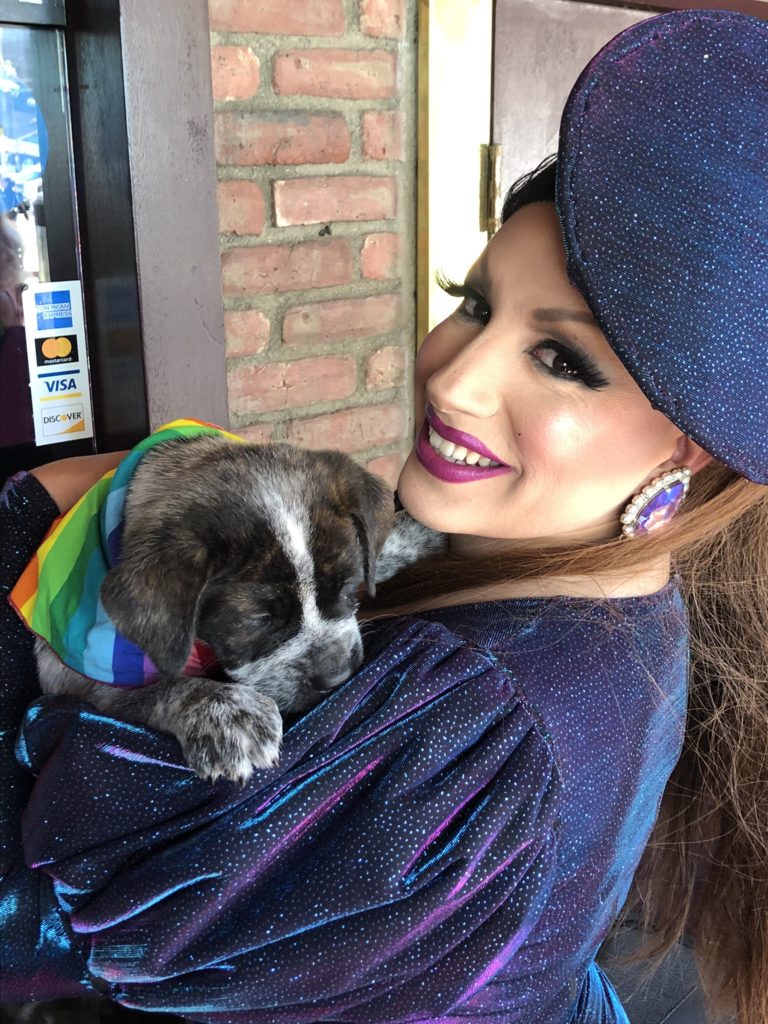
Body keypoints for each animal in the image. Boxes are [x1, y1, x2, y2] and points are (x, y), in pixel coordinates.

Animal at [34, 434, 444, 782]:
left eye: (345, 587)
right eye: (258, 620)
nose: (337, 677)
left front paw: (413, 531)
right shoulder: (79, 675)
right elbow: (162, 687)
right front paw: (223, 712)